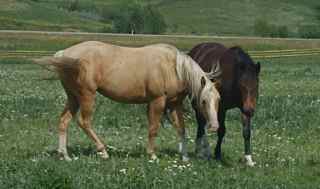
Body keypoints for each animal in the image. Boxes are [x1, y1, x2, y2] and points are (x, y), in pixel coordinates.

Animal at [34, 41, 220, 161]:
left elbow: (181, 129)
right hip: (87, 96)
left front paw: (185, 157)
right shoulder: (157, 101)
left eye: (218, 101)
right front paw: (152, 155)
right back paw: (103, 151)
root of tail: (64, 53)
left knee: (64, 121)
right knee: (84, 121)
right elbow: (153, 129)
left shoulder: (174, 104)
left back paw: (65, 155)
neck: (173, 67)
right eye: (204, 101)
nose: (214, 126)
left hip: (73, 97)